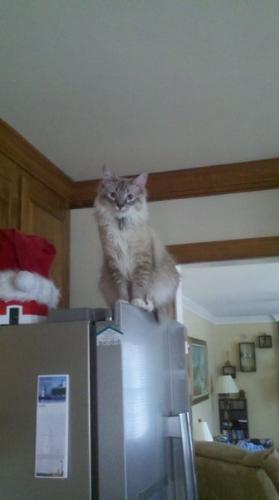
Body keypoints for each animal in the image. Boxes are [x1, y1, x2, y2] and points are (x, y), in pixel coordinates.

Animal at [95, 166, 180, 318]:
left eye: (130, 197)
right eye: (113, 195)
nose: (120, 205)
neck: (121, 226)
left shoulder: (141, 260)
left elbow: (139, 286)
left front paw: (136, 301)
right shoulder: (115, 262)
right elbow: (121, 287)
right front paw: (123, 301)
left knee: (154, 302)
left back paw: (146, 305)